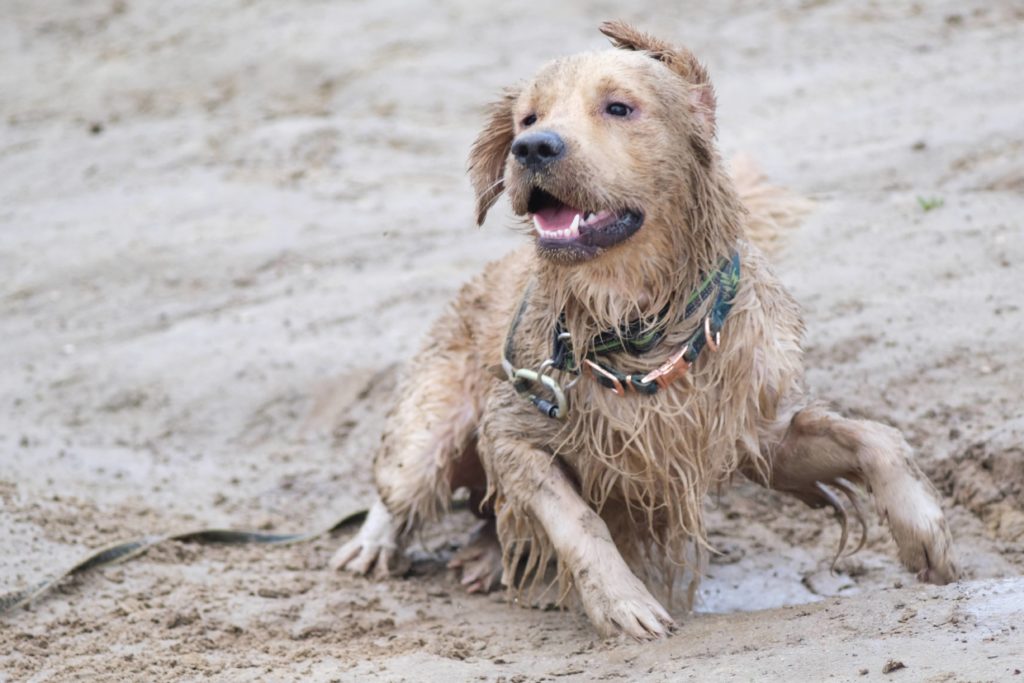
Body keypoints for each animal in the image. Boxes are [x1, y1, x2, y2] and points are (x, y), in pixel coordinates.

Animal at [329, 22, 958, 643]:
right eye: (528, 118)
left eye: (618, 107)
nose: (531, 147)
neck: (636, 327)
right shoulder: (510, 430)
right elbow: (575, 517)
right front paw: (622, 600)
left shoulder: (755, 435)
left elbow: (876, 436)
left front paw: (924, 530)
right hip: (427, 427)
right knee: (402, 484)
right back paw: (374, 544)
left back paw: (485, 558)